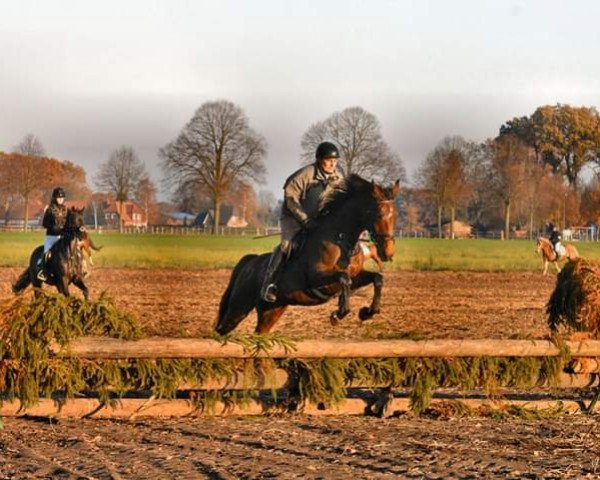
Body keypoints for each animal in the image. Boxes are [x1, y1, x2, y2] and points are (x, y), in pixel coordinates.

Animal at [213, 174, 400, 336]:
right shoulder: (317, 277)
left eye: (395, 215)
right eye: (379, 214)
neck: (341, 241)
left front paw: (367, 312)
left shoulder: (356, 275)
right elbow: (344, 279)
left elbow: (377, 278)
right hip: (239, 306)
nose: (388, 252)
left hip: (271, 310)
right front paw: (338, 314)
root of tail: (250, 261)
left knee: (259, 333)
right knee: (222, 329)